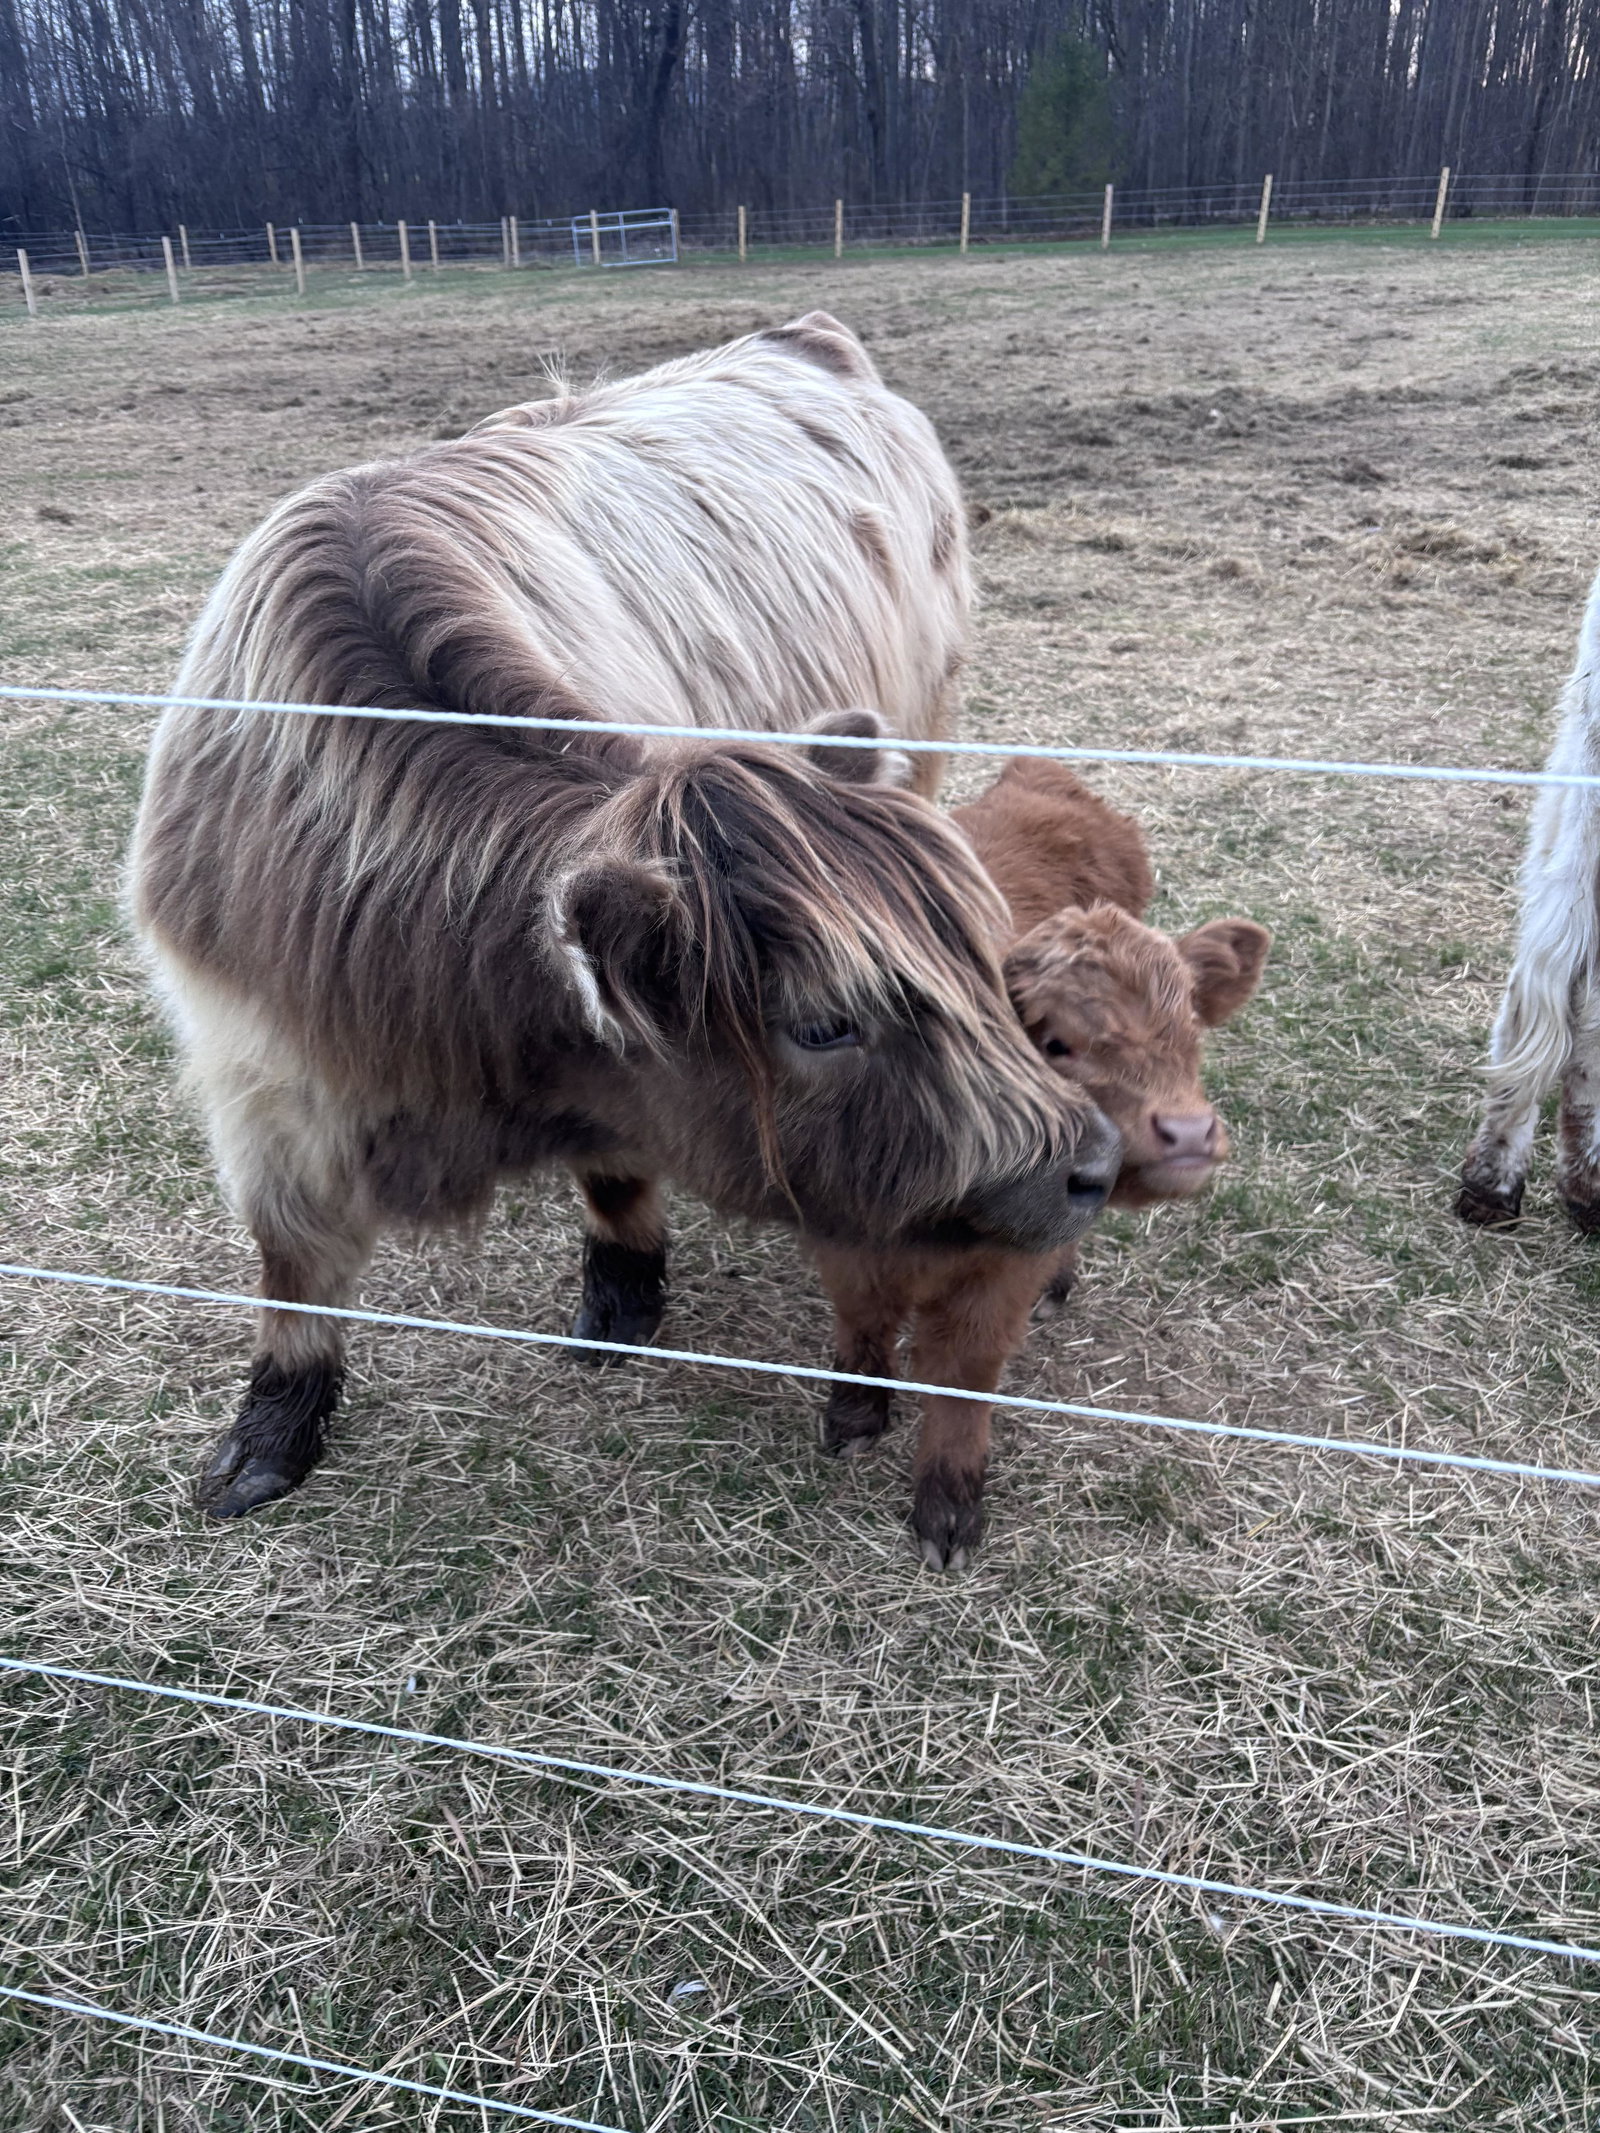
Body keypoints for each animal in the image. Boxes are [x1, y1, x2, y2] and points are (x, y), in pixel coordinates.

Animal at [127, 314, 1119, 1520]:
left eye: (977, 959)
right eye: (824, 1024)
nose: (1091, 1160)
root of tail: (803, 334)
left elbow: (614, 1159)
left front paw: (622, 1291)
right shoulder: (258, 1068)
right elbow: (290, 1261)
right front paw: (270, 1432)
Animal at [808, 759, 1271, 1567]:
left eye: (1191, 1032)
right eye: (1054, 1042)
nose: (1187, 1132)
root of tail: (1040, 773)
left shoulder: (1001, 1272)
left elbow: (964, 1372)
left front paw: (948, 1504)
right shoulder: (840, 1230)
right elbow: (862, 1317)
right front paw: (857, 1414)